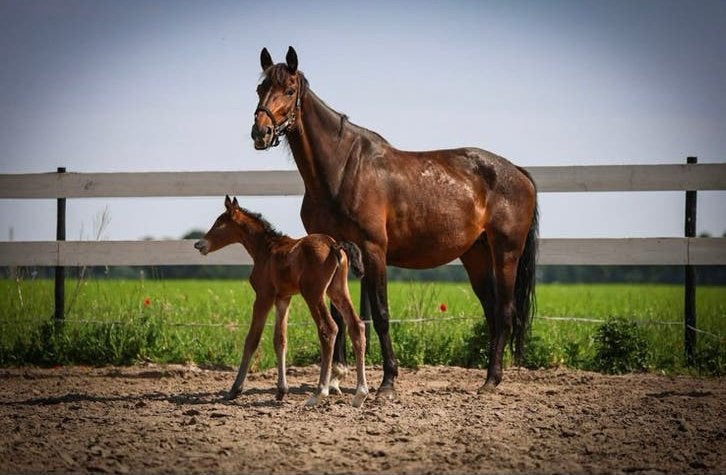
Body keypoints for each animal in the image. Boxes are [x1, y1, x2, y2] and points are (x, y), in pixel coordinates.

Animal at [194, 195, 369, 408]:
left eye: (219, 222)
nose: (199, 244)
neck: (266, 250)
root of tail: (334, 245)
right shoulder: (283, 298)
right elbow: (280, 339)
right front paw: (281, 390)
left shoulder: (263, 296)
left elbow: (252, 339)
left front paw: (234, 390)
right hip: (337, 290)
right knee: (356, 326)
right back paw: (360, 394)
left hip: (313, 293)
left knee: (328, 329)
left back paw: (319, 393)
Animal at [250, 47, 539, 399]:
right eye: (260, 89)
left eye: (290, 90)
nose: (260, 133)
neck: (342, 170)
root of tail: (518, 172)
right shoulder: (332, 251)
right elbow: (340, 314)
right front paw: (335, 378)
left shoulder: (374, 250)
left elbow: (381, 314)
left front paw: (387, 382)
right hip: (476, 257)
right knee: (492, 312)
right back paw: (489, 377)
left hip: (506, 254)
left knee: (505, 311)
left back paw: (491, 381)